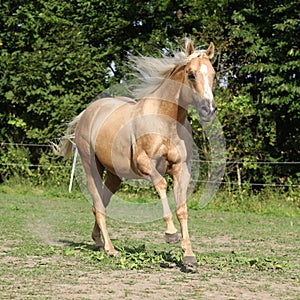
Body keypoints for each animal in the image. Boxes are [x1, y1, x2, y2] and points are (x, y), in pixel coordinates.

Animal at [55, 39, 216, 264]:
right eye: (191, 74)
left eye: (213, 75)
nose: (208, 110)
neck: (165, 120)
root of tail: (87, 112)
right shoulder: (144, 164)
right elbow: (161, 184)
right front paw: (171, 234)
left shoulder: (180, 169)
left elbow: (182, 209)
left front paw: (189, 255)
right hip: (91, 168)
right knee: (98, 206)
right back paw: (110, 249)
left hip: (114, 175)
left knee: (101, 203)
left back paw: (98, 242)